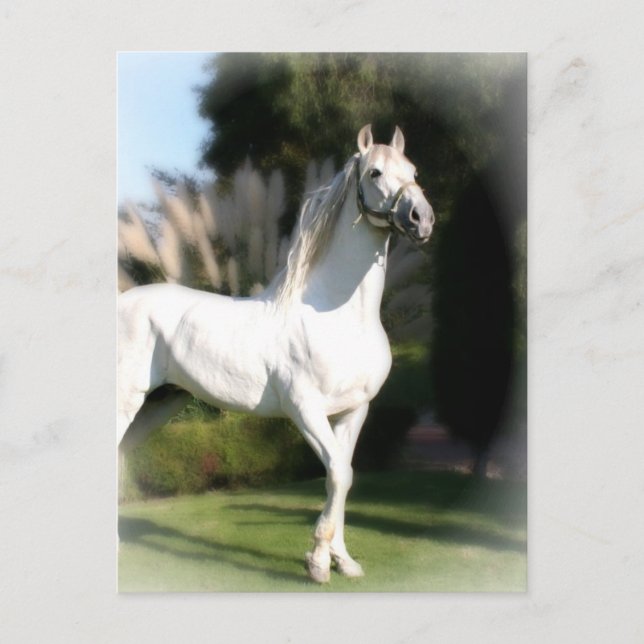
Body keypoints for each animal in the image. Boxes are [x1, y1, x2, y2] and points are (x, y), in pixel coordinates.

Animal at [118, 124, 435, 583]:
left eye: (413, 170)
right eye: (375, 172)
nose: (421, 218)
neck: (337, 313)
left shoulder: (353, 411)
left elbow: (342, 477)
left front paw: (343, 561)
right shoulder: (304, 409)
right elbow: (338, 473)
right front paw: (318, 562)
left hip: (159, 404)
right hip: (126, 401)